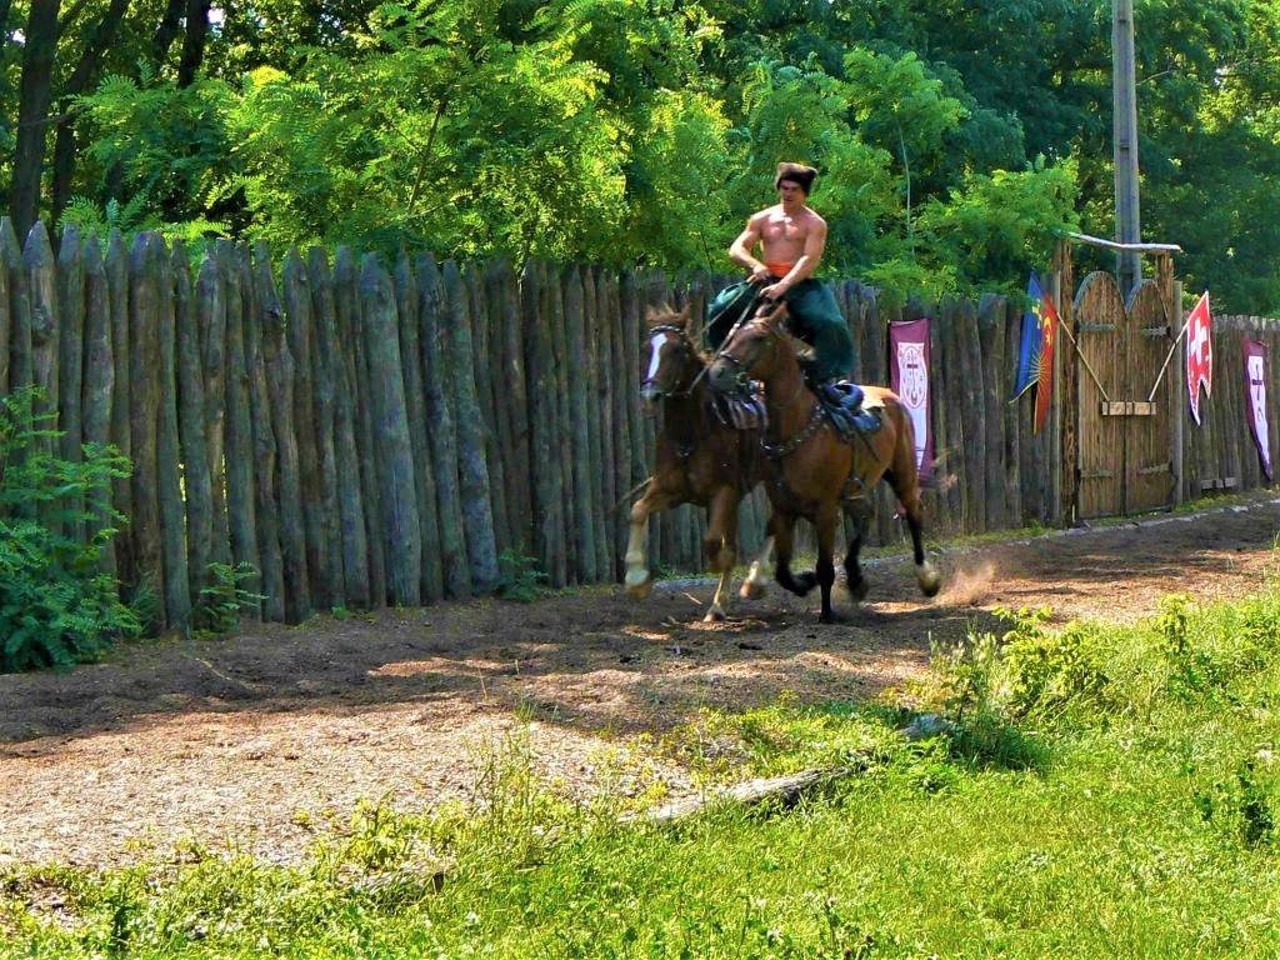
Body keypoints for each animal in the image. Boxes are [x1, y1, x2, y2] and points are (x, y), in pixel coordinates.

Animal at [619, 304, 768, 627]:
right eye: (647, 348)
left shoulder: (724, 491)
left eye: (677, 350)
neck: (692, 432)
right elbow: (637, 511)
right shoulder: (670, 491)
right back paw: (719, 605)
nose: (649, 396)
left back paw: (753, 583)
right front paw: (637, 580)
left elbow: (713, 541)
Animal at [701, 300, 942, 627]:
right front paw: (803, 582)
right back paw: (855, 579)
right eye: (734, 334)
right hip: (856, 490)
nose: (717, 373)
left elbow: (825, 566)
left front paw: (827, 612)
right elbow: (783, 571)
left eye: (759, 338)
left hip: (902, 474)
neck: (796, 427)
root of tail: (893, 397)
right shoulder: (784, 509)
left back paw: (926, 577)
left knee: (914, 516)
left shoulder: (826, 510)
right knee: (866, 516)